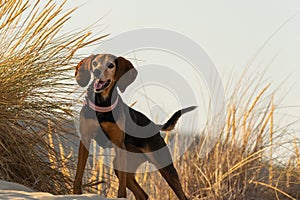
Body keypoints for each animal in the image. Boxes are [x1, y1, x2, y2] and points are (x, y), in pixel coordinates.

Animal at [72, 54, 195, 199]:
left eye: (110, 65)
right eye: (94, 63)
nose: (97, 72)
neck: (101, 105)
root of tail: (155, 127)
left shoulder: (118, 145)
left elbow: (121, 189)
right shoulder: (85, 139)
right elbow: (79, 173)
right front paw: (76, 193)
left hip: (166, 167)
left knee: (181, 195)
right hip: (123, 165)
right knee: (142, 194)